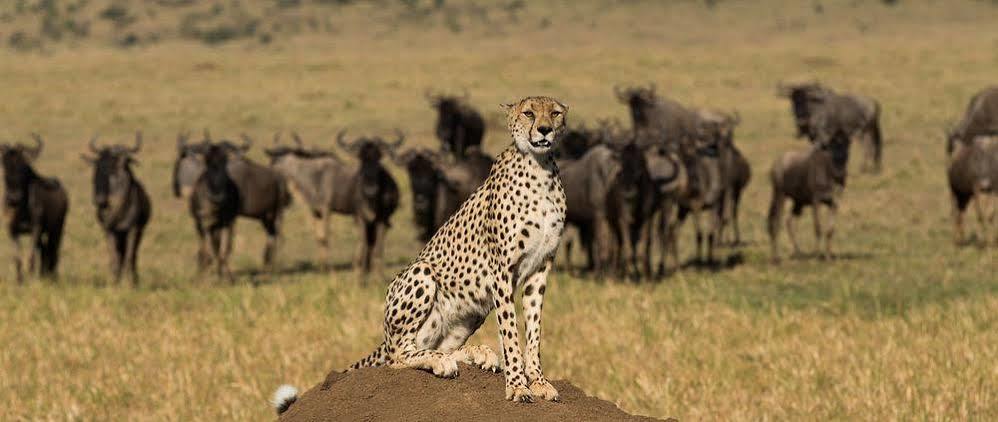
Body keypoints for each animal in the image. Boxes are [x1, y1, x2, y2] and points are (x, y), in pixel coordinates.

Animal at [352, 95, 572, 402]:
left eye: (555, 113)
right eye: (529, 113)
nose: (544, 130)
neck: (540, 168)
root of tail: (385, 336)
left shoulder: (540, 268)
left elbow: (534, 328)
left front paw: (538, 381)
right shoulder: (501, 270)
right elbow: (510, 330)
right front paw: (517, 385)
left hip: (471, 311)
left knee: (433, 344)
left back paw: (475, 354)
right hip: (422, 272)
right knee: (398, 355)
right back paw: (441, 361)